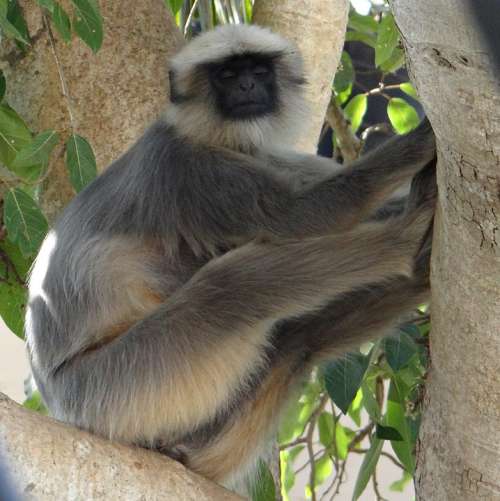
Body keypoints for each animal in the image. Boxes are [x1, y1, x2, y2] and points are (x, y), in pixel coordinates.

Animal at [25, 25, 436, 490]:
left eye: (258, 71)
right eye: (226, 75)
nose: (247, 87)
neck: (209, 136)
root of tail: (59, 404)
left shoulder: (261, 157)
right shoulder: (184, 167)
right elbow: (308, 215)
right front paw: (423, 140)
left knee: (300, 339)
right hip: (119, 387)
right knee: (231, 287)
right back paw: (405, 241)